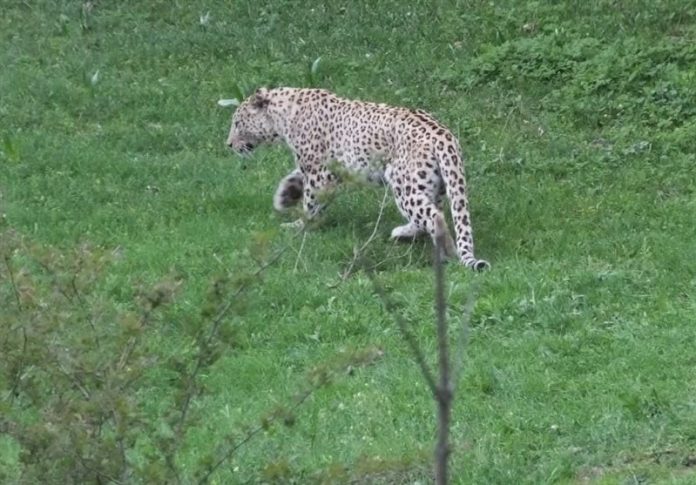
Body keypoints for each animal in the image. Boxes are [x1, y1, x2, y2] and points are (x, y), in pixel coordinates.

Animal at [226, 87, 489, 270]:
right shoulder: (319, 168)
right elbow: (296, 177)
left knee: (434, 216)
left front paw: (301, 226)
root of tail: (444, 136)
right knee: (430, 213)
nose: (228, 144)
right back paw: (403, 233)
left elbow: (311, 202)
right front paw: (285, 196)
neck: (283, 117)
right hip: (433, 184)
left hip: (403, 183)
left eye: (237, 123)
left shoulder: (319, 171)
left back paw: (447, 253)